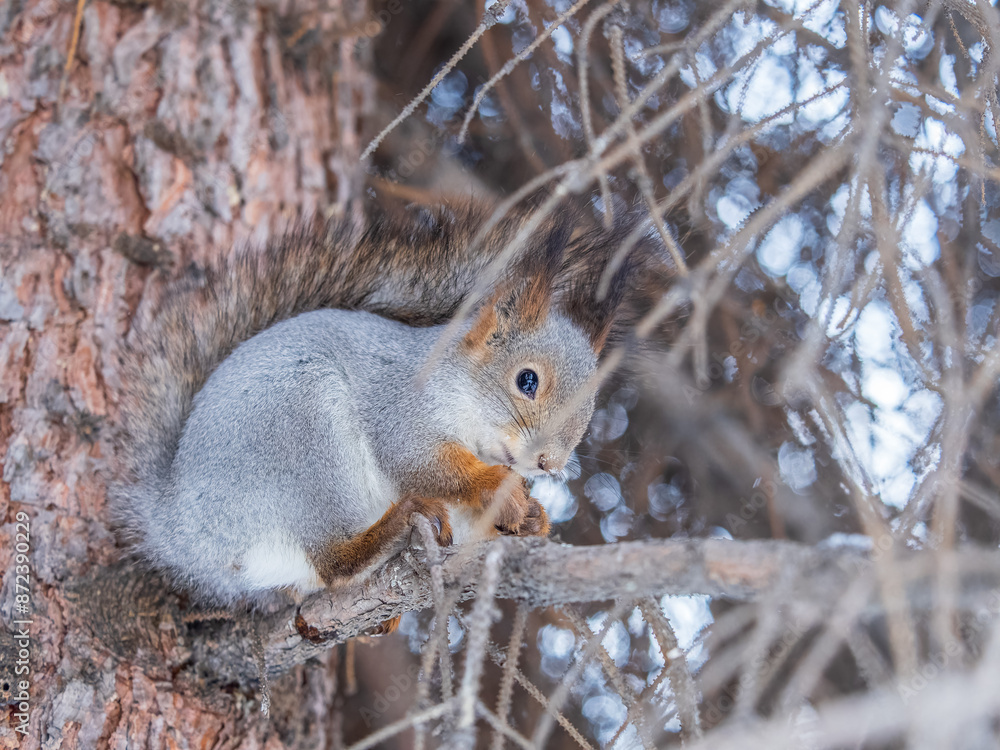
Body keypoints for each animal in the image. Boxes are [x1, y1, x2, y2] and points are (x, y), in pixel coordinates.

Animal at [110, 197, 649, 609]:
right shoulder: (398, 404)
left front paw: (533, 518)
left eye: (590, 408)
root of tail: (178, 526)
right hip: (302, 428)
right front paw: (497, 485)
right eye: (527, 380)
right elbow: (418, 460)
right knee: (333, 562)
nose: (549, 464)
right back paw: (389, 529)